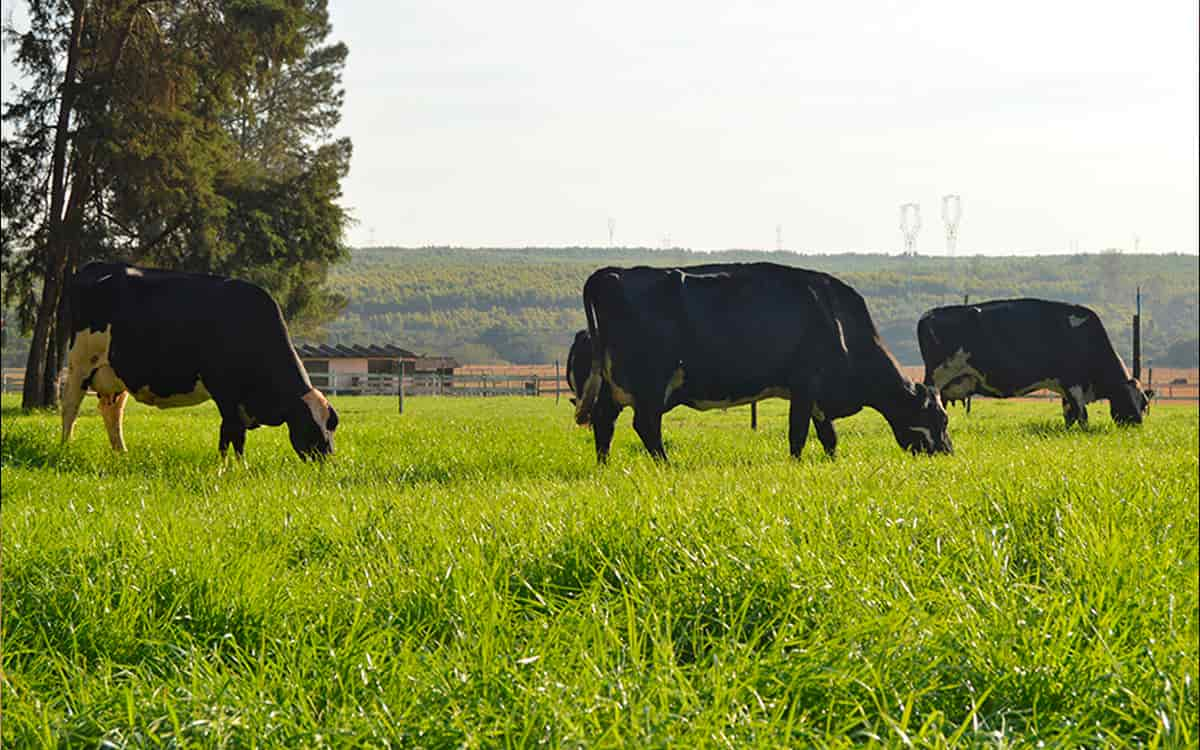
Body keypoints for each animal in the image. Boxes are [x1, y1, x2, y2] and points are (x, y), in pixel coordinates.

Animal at [63, 262, 340, 463]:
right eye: (309, 426)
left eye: (330, 426)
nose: (326, 458)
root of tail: (94, 266)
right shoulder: (225, 393)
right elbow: (232, 433)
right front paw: (233, 468)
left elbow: (231, 436)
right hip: (80, 364)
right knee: (70, 408)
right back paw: (65, 447)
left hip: (115, 374)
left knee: (113, 413)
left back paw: (121, 454)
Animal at [566, 262, 950, 463]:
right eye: (939, 418)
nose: (948, 451)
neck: (839, 323)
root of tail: (613, 273)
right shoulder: (805, 385)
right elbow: (798, 434)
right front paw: (796, 466)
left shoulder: (819, 396)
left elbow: (829, 437)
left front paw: (831, 463)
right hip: (650, 383)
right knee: (645, 426)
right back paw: (666, 466)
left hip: (612, 386)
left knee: (604, 423)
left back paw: (604, 466)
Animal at [916, 298, 1152, 427]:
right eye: (1127, 401)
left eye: (1144, 404)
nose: (1136, 425)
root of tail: (928, 314)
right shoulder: (1074, 384)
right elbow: (1082, 416)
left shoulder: (1066, 389)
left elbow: (1069, 415)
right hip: (938, 376)